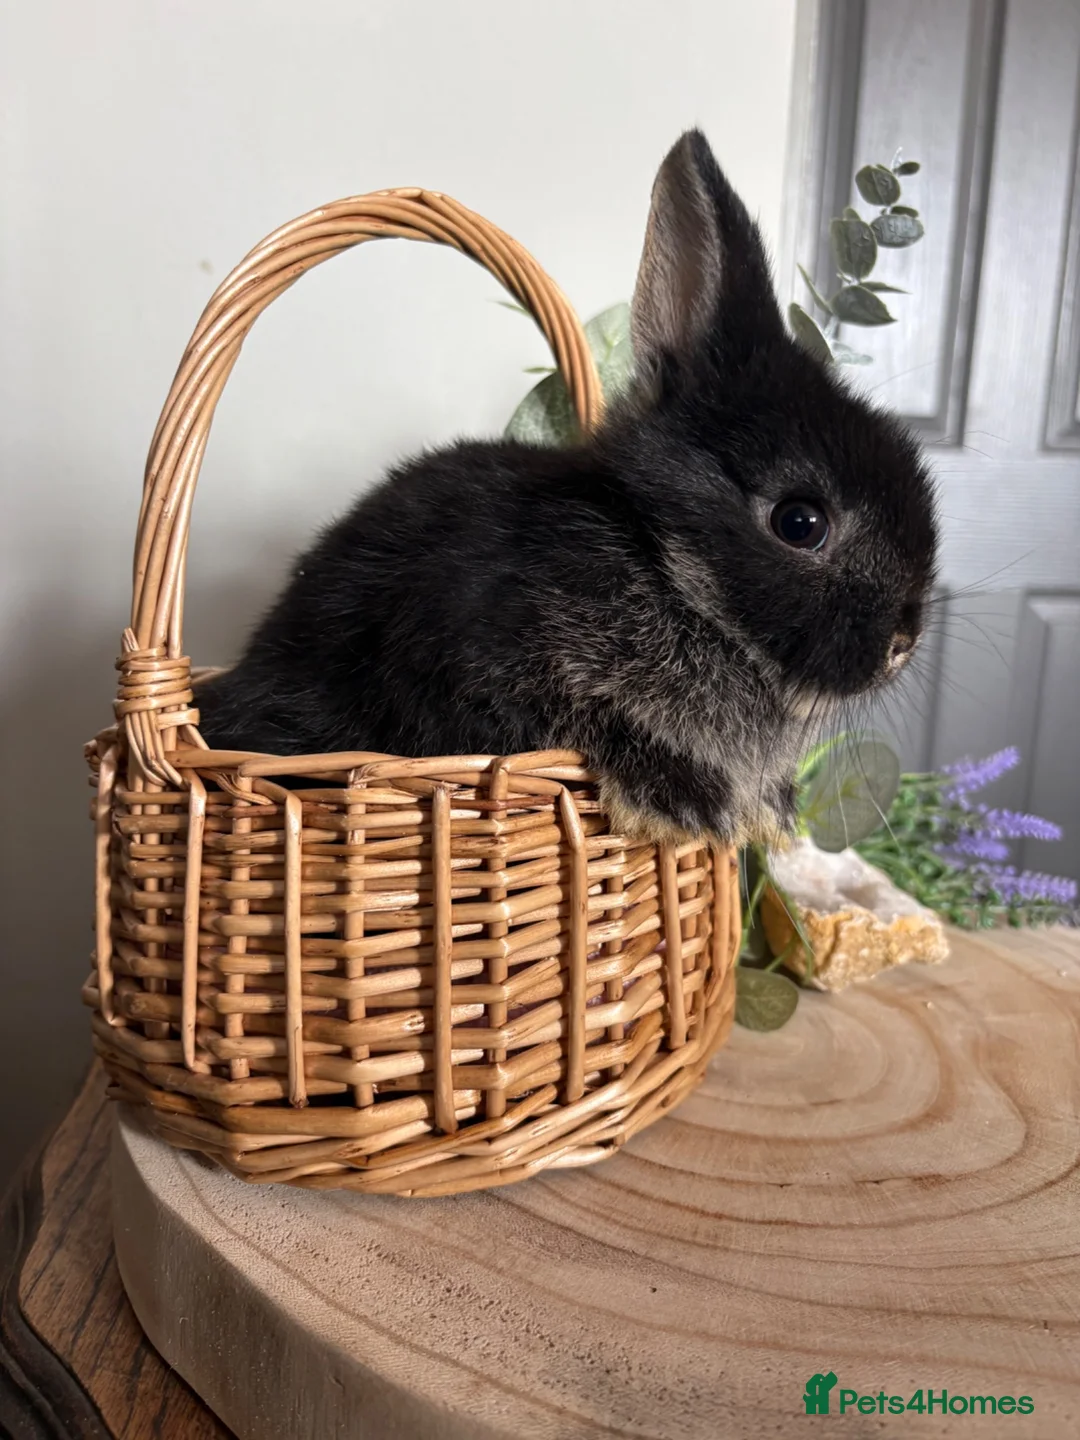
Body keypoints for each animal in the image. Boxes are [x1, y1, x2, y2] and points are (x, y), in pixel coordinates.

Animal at [196, 129, 938, 847]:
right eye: (799, 523)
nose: (902, 645)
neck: (665, 566)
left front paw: (772, 805)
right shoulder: (471, 669)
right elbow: (579, 721)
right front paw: (686, 798)